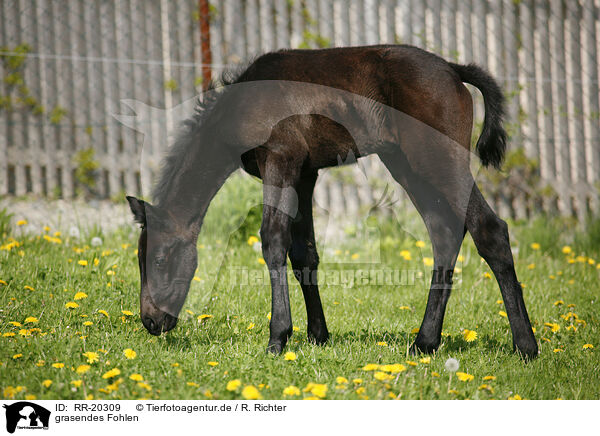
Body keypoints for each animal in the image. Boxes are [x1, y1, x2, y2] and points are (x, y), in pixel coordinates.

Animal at [126, 44, 540, 360]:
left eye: (159, 259)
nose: (151, 321)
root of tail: (454, 70)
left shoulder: (280, 159)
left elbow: (272, 240)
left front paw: (277, 338)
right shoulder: (306, 173)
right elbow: (303, 253)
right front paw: (317, 335)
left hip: (438, 157)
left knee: (489, 230)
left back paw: (526, 346)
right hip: (405, 163)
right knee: (445, 233)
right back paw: (424, 343)